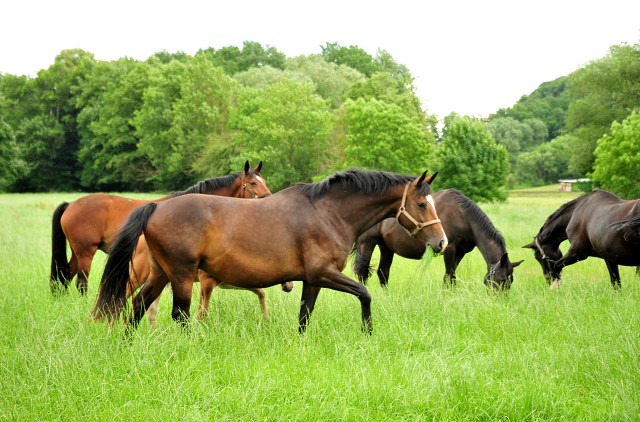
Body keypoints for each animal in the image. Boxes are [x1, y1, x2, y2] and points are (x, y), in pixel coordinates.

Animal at [92, 168, 448, 332]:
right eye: (421, 204)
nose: (442, 242)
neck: (327, 212)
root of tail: (156, 206)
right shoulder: (323, 273)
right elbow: (365, 293)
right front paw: (368, 333)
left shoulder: (312, 279)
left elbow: (305, 316)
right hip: (179, 275)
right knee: (178, 314)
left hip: (160, 274)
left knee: (136, 307)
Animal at [352, 189, 524, 290]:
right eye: (502, 278)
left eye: (511, 280)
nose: (500, 300)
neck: (463, 217)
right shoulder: (450, 249)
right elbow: (450, 276)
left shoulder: (460, 252)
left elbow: (449, 276)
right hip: (368, 243)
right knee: (362, 272)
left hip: (386, 248)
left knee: (383, 272)